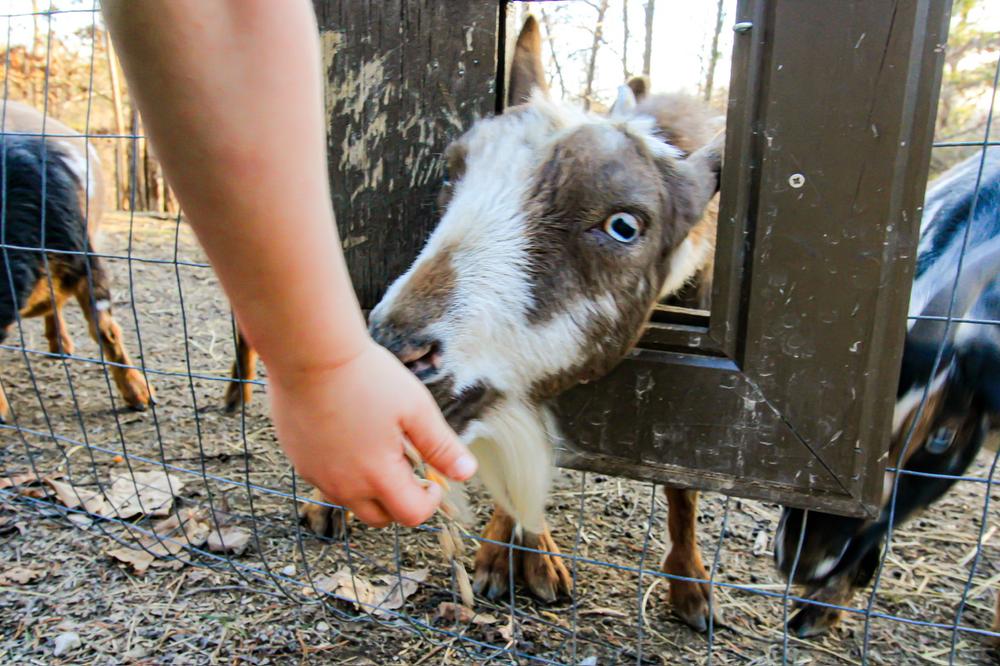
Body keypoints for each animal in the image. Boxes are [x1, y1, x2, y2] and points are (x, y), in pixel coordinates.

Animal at [301, 17, 725, 629]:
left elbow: (683, 477)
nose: (395, 350)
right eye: (452, 177)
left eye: (624, 226)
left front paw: (691, 585)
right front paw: (507, 558)